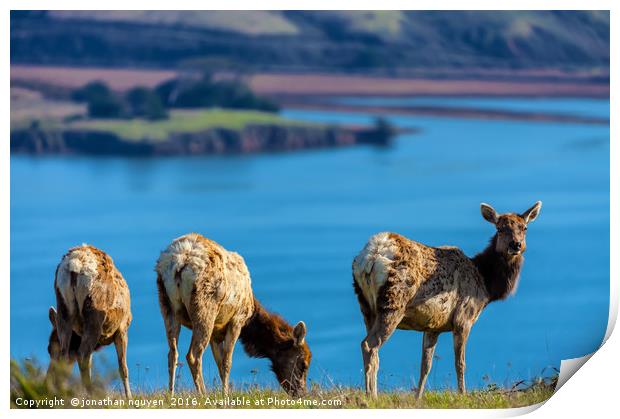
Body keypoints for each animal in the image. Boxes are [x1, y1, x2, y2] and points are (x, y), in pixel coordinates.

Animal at [49, 244, 134, 398]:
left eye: (49, 350)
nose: (47, 379)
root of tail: (74, 265)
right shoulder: (122, 328)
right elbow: (123, 368)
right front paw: (129, 398)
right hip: (94, 314)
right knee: (82, 354)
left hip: (64, 308)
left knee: (68, 354)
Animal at [155, 233, 310, 398]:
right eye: (303, 364)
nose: (301, 393)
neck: (251, 316)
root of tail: (181, 263)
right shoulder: (237, 320)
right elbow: (227, 362)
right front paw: (226, 395)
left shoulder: (216, 332)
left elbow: (219, 362)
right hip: (204, 309)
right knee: (193, 355)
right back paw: (203, 394)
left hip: (167, 306)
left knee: (172, 353)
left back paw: (171, 394)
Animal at [354, 203, 544, 400]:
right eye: (499, 228)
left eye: (524, 228)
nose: (516, 245)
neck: (486, 285)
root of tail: (370, 257)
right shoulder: (463, 318)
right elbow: (460, 363)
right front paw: (463, 394)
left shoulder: (433, 326)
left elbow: (426, 366)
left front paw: (418, 398)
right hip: (393, 303)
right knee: (369, 345)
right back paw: (372, 396)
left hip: (365, 305)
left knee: (370, 348)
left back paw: (370, 394)